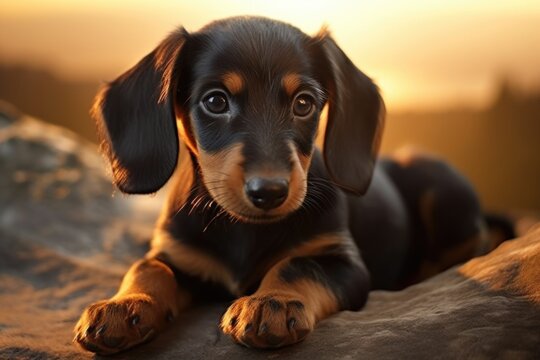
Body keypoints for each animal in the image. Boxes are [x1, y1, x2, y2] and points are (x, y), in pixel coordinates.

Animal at [74, 16, 492, 354]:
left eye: (304, 103)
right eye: (215, 101)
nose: (269, 192)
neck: (242, 229)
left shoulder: (345, 263)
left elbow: (297, 265)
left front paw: (272, 302)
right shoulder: (177, 254)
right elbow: (147, 268)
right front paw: (122, 306)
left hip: (443, 192)